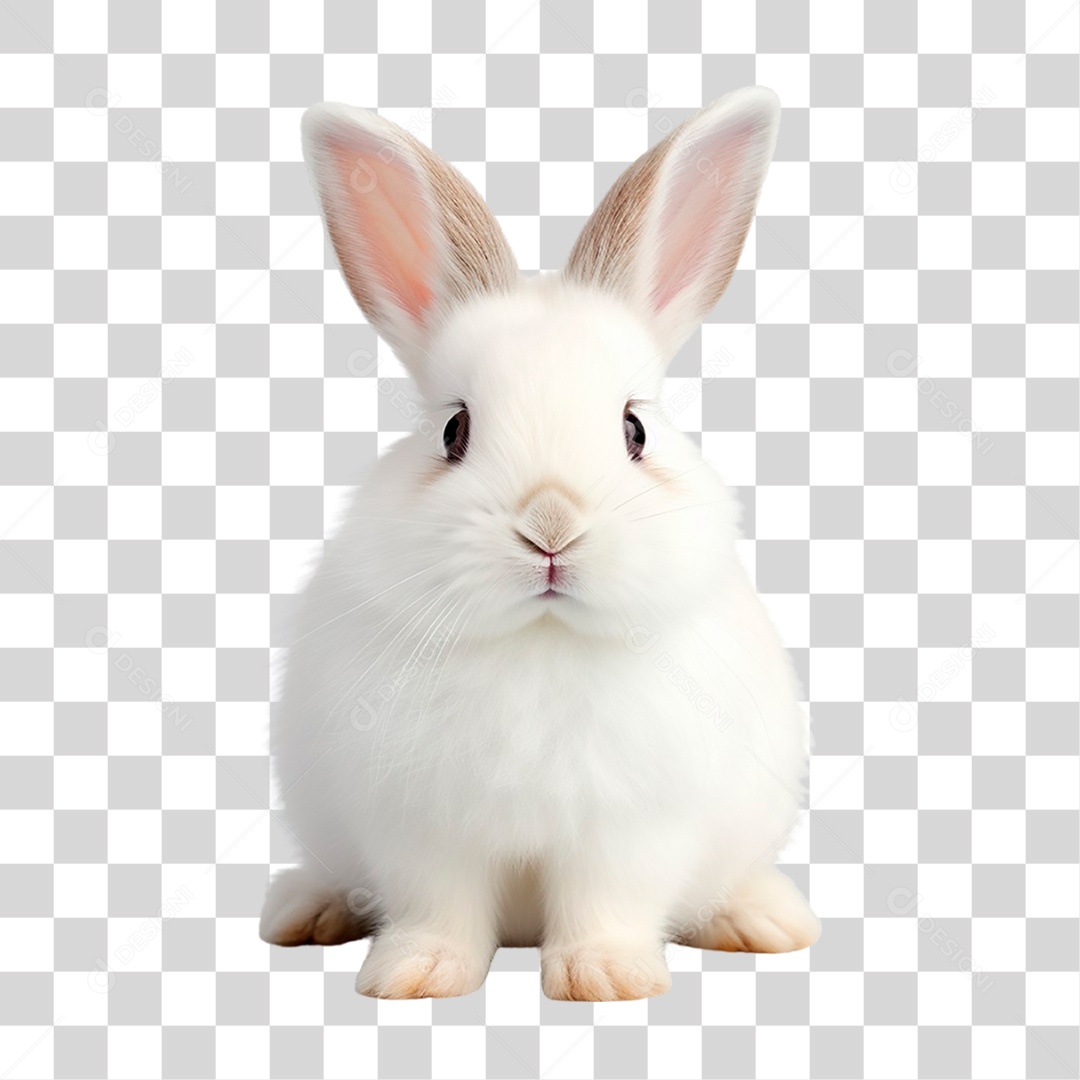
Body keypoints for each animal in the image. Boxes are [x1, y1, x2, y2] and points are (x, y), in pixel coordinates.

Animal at [258, 86, 820, 1001]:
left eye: (633, 430)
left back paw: (764, 921)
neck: (540, 639)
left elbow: (606, 903)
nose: (550, 526)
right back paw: (305, 911)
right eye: (454, 430)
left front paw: (606, 979)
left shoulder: (630, 830)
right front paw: (416, 975)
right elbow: (439, 908)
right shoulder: (420, 833)